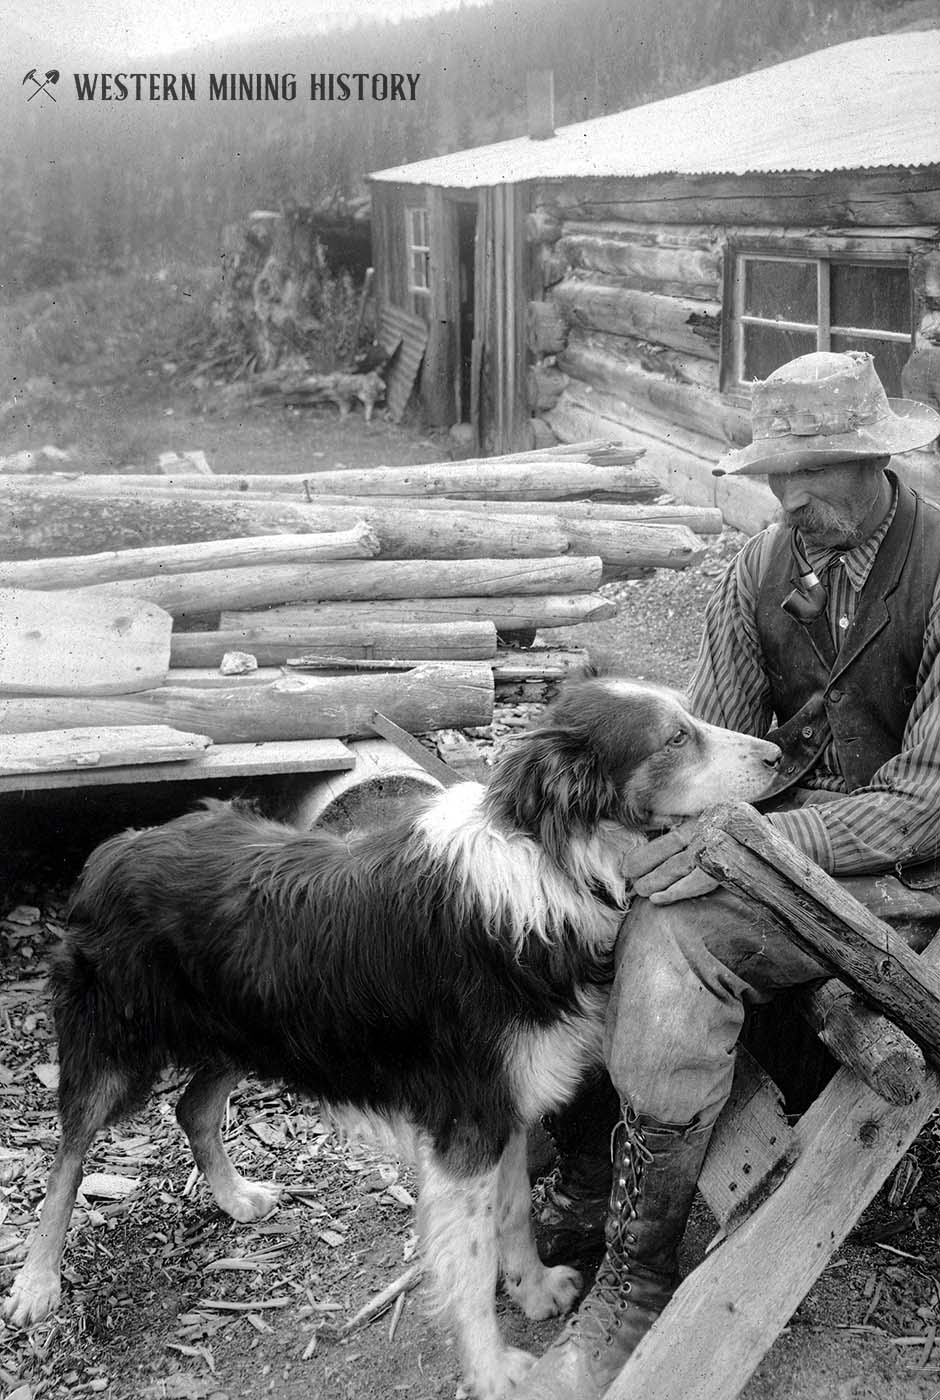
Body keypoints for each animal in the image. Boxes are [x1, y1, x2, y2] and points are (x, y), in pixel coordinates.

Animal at [1, 672, 778, 1394]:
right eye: (674, 738)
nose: (776, 755)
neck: (553, 862)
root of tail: (121, 844)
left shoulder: (509, 1102)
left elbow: (513, 1214)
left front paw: (531, 1288)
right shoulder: (469, 1122)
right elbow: (470, 1265)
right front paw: (492, 1371)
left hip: (258, 1028)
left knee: (191, 1107)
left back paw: (235, 1198)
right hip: (115, 1047)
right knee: (67, 1156)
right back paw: (37, 1284)